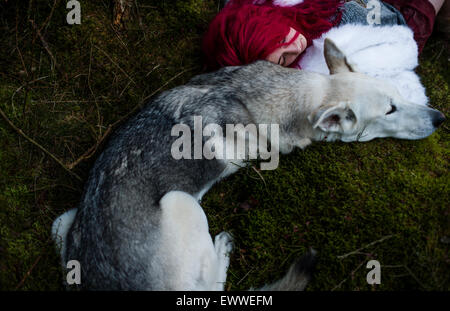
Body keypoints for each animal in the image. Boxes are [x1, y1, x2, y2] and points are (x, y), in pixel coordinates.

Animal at [51, 39, 444, 292]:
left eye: (399, 95)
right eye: (390, 110)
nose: (440, 118)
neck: (303, 97)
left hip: (64, 223)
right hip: (182, 202)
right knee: (208, 288)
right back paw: (223, 247)